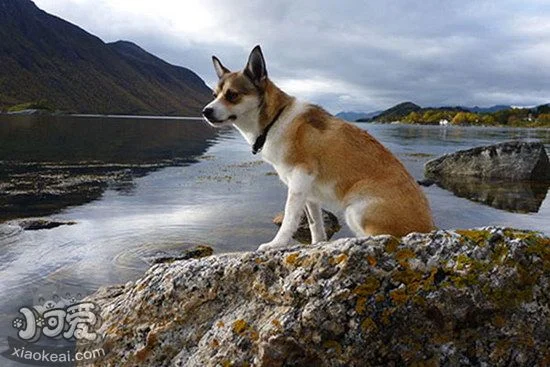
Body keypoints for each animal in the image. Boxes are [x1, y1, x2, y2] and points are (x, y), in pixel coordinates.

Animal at [203, 45, 436, 253]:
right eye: (214, 94)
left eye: (232, 95)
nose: (205, 111)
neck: (275, 119)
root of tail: (430, 229)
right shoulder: (308, 192)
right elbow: (315, 223)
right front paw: (316, 245)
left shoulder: (299, 179)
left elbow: (289, 219)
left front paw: (276, 244)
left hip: (357, 209)